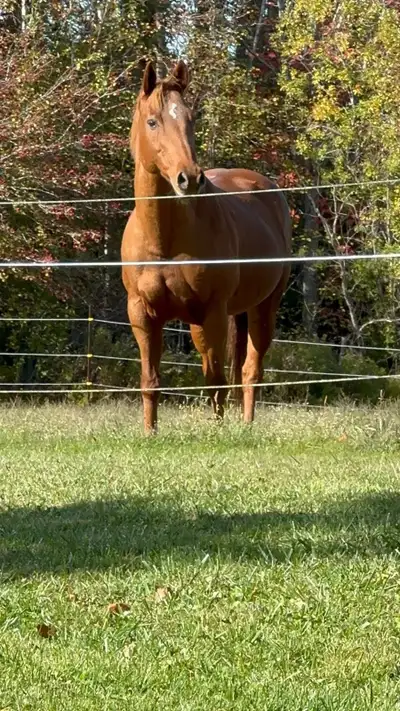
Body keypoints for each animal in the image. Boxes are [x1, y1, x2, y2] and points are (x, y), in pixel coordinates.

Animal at [121, 60, 292, 433]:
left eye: (190, 118)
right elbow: (150, 381)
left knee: (249, 371)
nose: (190, 178)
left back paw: (246, 426)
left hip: (263, 308)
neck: (164, 239)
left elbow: (215, 380)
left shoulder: (210, 312)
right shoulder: (142, 314)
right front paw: (149, 433)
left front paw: (218, 434)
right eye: (153, 121)